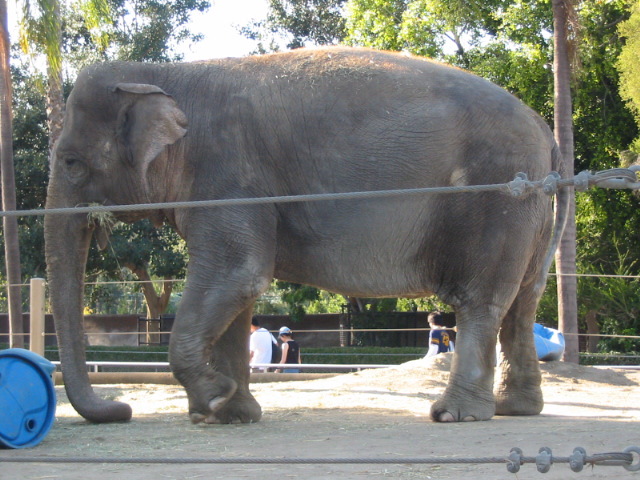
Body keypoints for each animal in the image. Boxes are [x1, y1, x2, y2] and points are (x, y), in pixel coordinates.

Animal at [45, 47, 568, 424]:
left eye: (70, 162)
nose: (122, 409)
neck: (163, 74)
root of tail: (547, 132)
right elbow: (239, 294)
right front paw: (231, 415)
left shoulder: (228, 177)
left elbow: (239, 275)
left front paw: (212, 401)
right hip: (532, 210)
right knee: (523, 302)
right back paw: (516, 409)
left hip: (498, 194)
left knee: (481, 301)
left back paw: (454, 415)